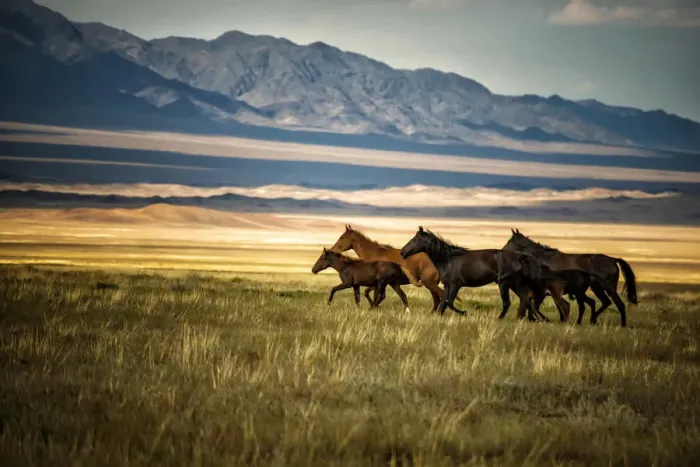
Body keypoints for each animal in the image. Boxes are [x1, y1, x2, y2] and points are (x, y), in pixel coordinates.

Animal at [330, 225, 462, 311]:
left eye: (342, 237)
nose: (332, 250)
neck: (374, 254)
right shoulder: (385, 283)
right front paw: (375, 307)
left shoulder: (378, 282)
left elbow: (371, 294)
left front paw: (374, 307)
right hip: (430, 284)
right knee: (437, 299)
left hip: (429, 282)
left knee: (441, 296)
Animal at [400, 227, 543, 320]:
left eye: (414, 240)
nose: (402, 252)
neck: (448, 259)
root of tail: (519, 256)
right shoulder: (447, 285)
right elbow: (444, 303)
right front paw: (438, 317)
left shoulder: (456, 285)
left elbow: (449, 302)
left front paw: (465, 313)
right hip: (515, 284)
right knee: (528, 297)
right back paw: (537, 319)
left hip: (504, 283)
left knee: (508, 302)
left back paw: (500, 319)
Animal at [503, 229, 638, 327]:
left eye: (510, 241)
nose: (502, 250)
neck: (545, 259)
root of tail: (613, 260)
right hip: (596, 287)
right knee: (605, 302)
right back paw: (592, 320)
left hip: (608, 287)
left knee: (619, 304)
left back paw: (622, 324)